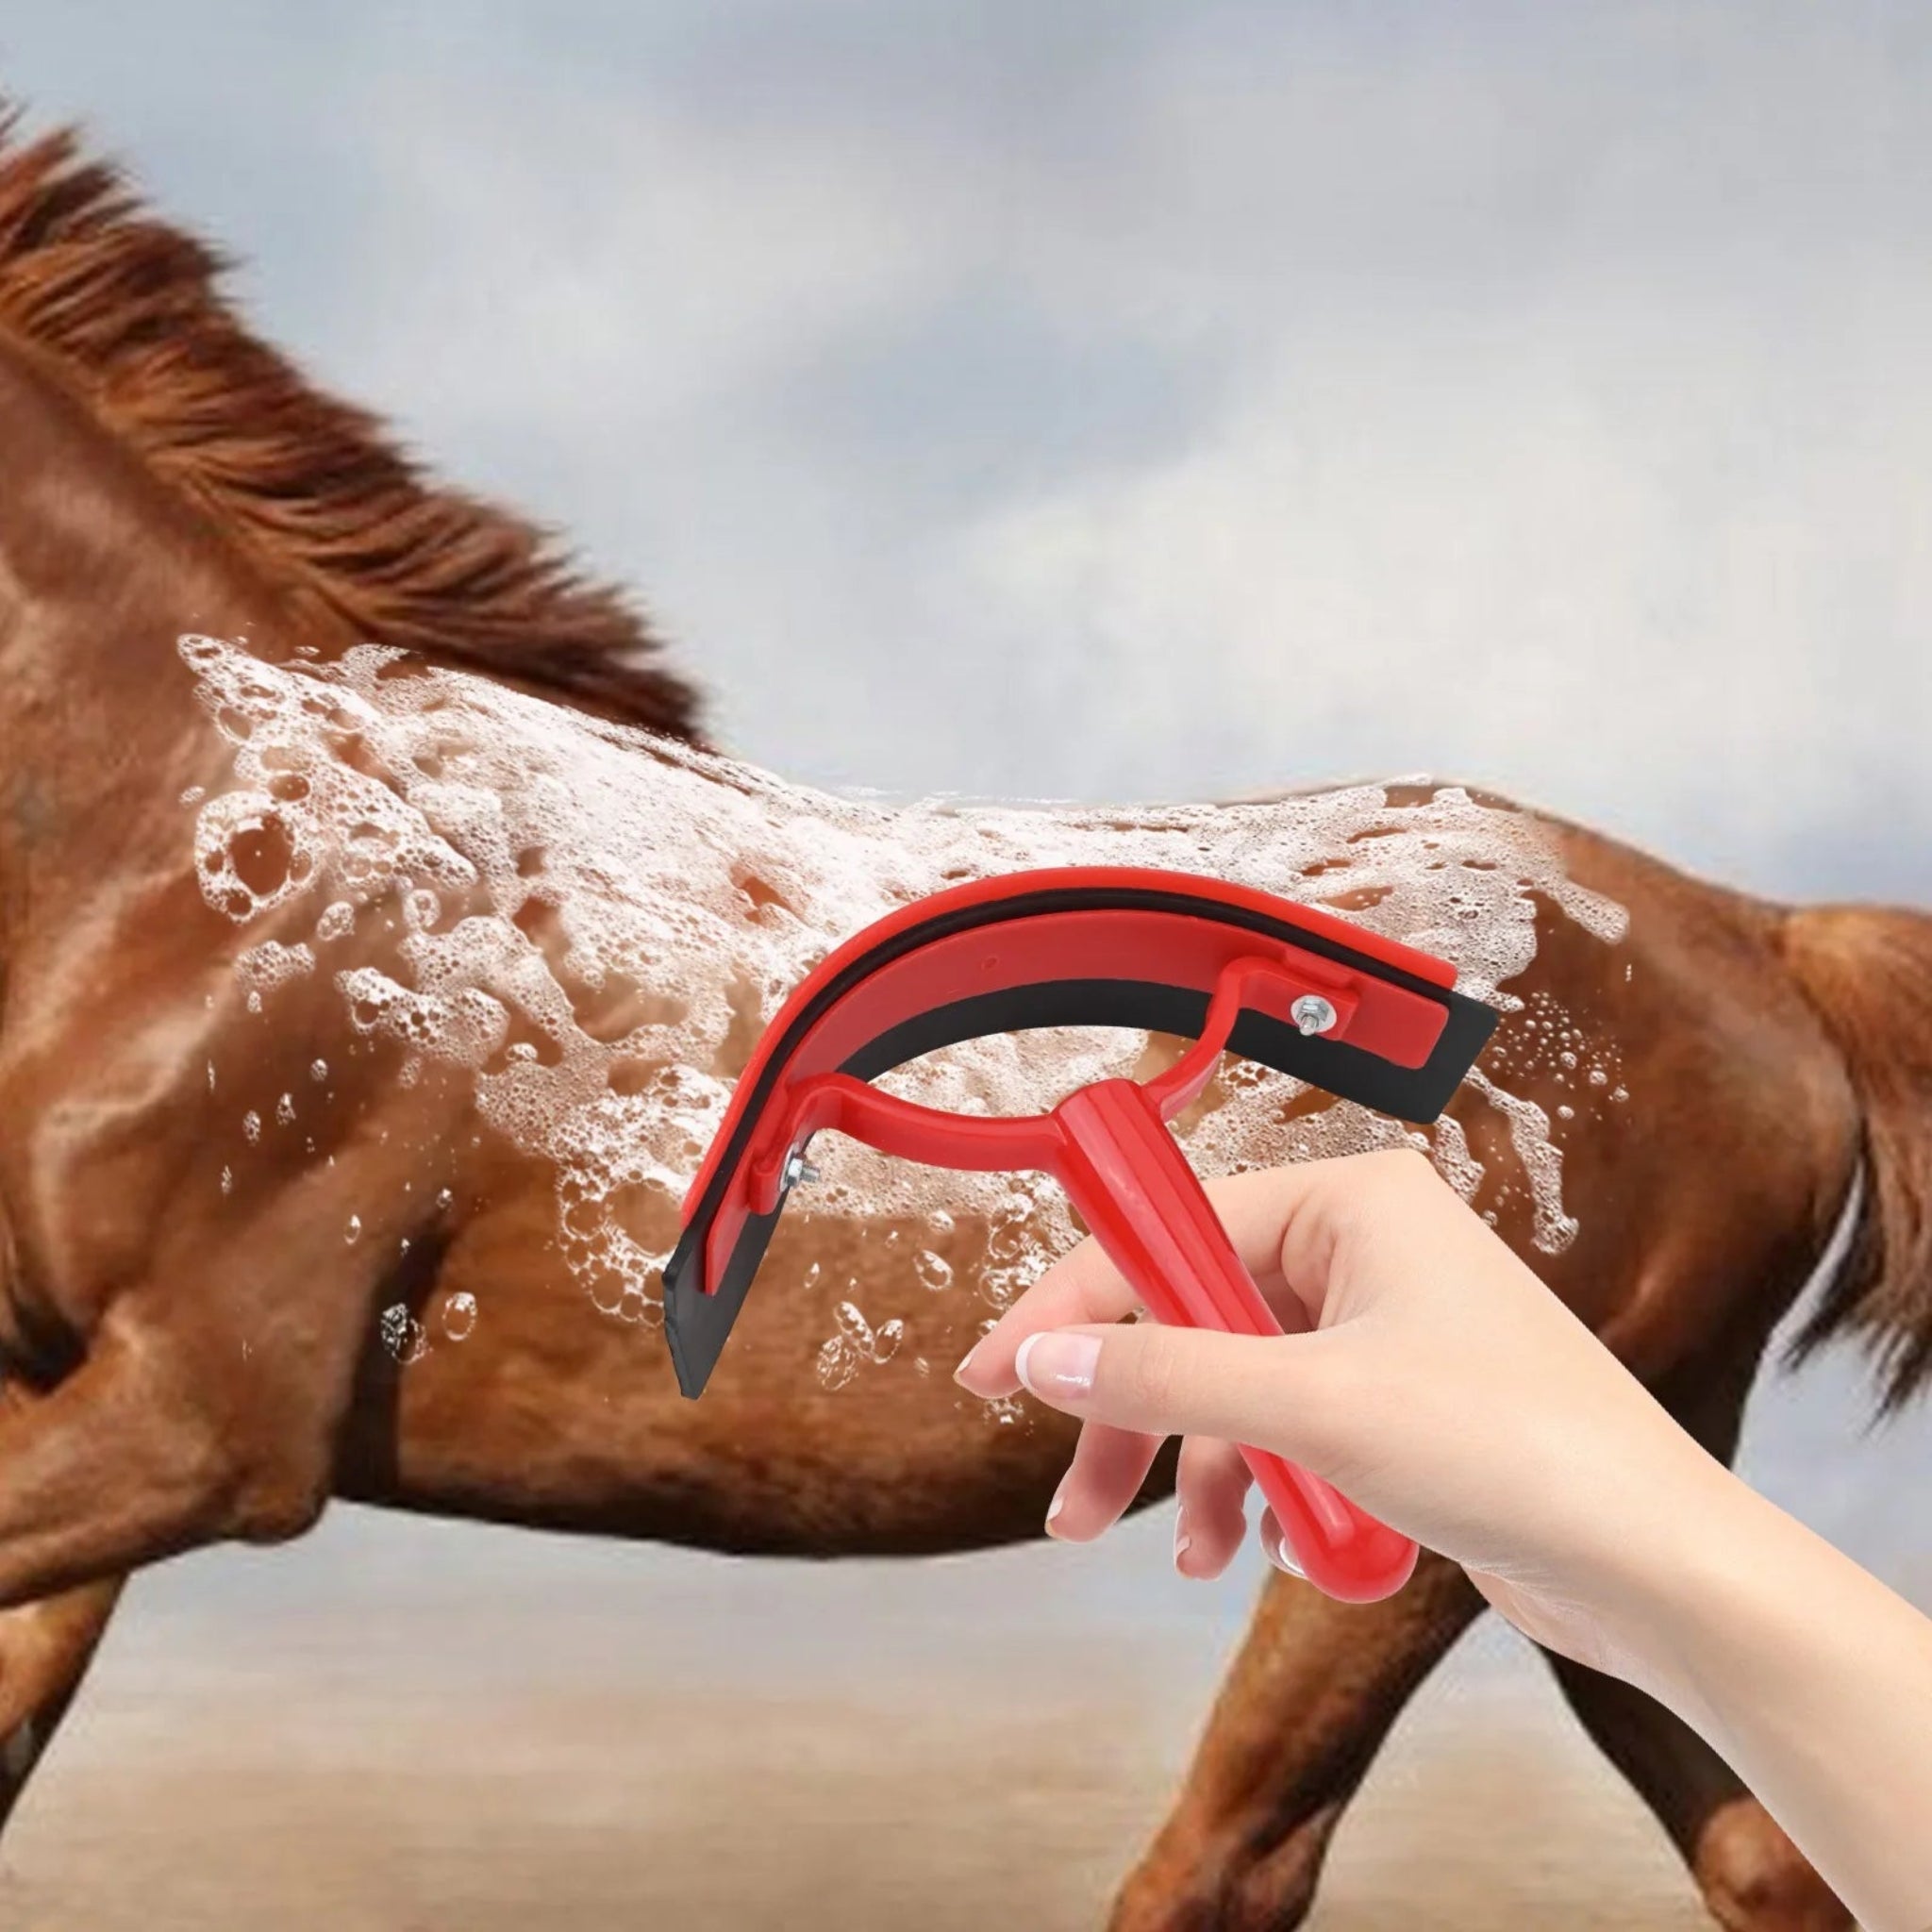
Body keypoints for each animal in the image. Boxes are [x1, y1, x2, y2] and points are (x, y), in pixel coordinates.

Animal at [0, 110, 1925, 1932]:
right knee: (1762, 1859)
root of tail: (1754, 934)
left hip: (1421, 1496)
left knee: (1227, 1864)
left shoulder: (210, 1412)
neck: (198, 848)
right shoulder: (88, 1404)